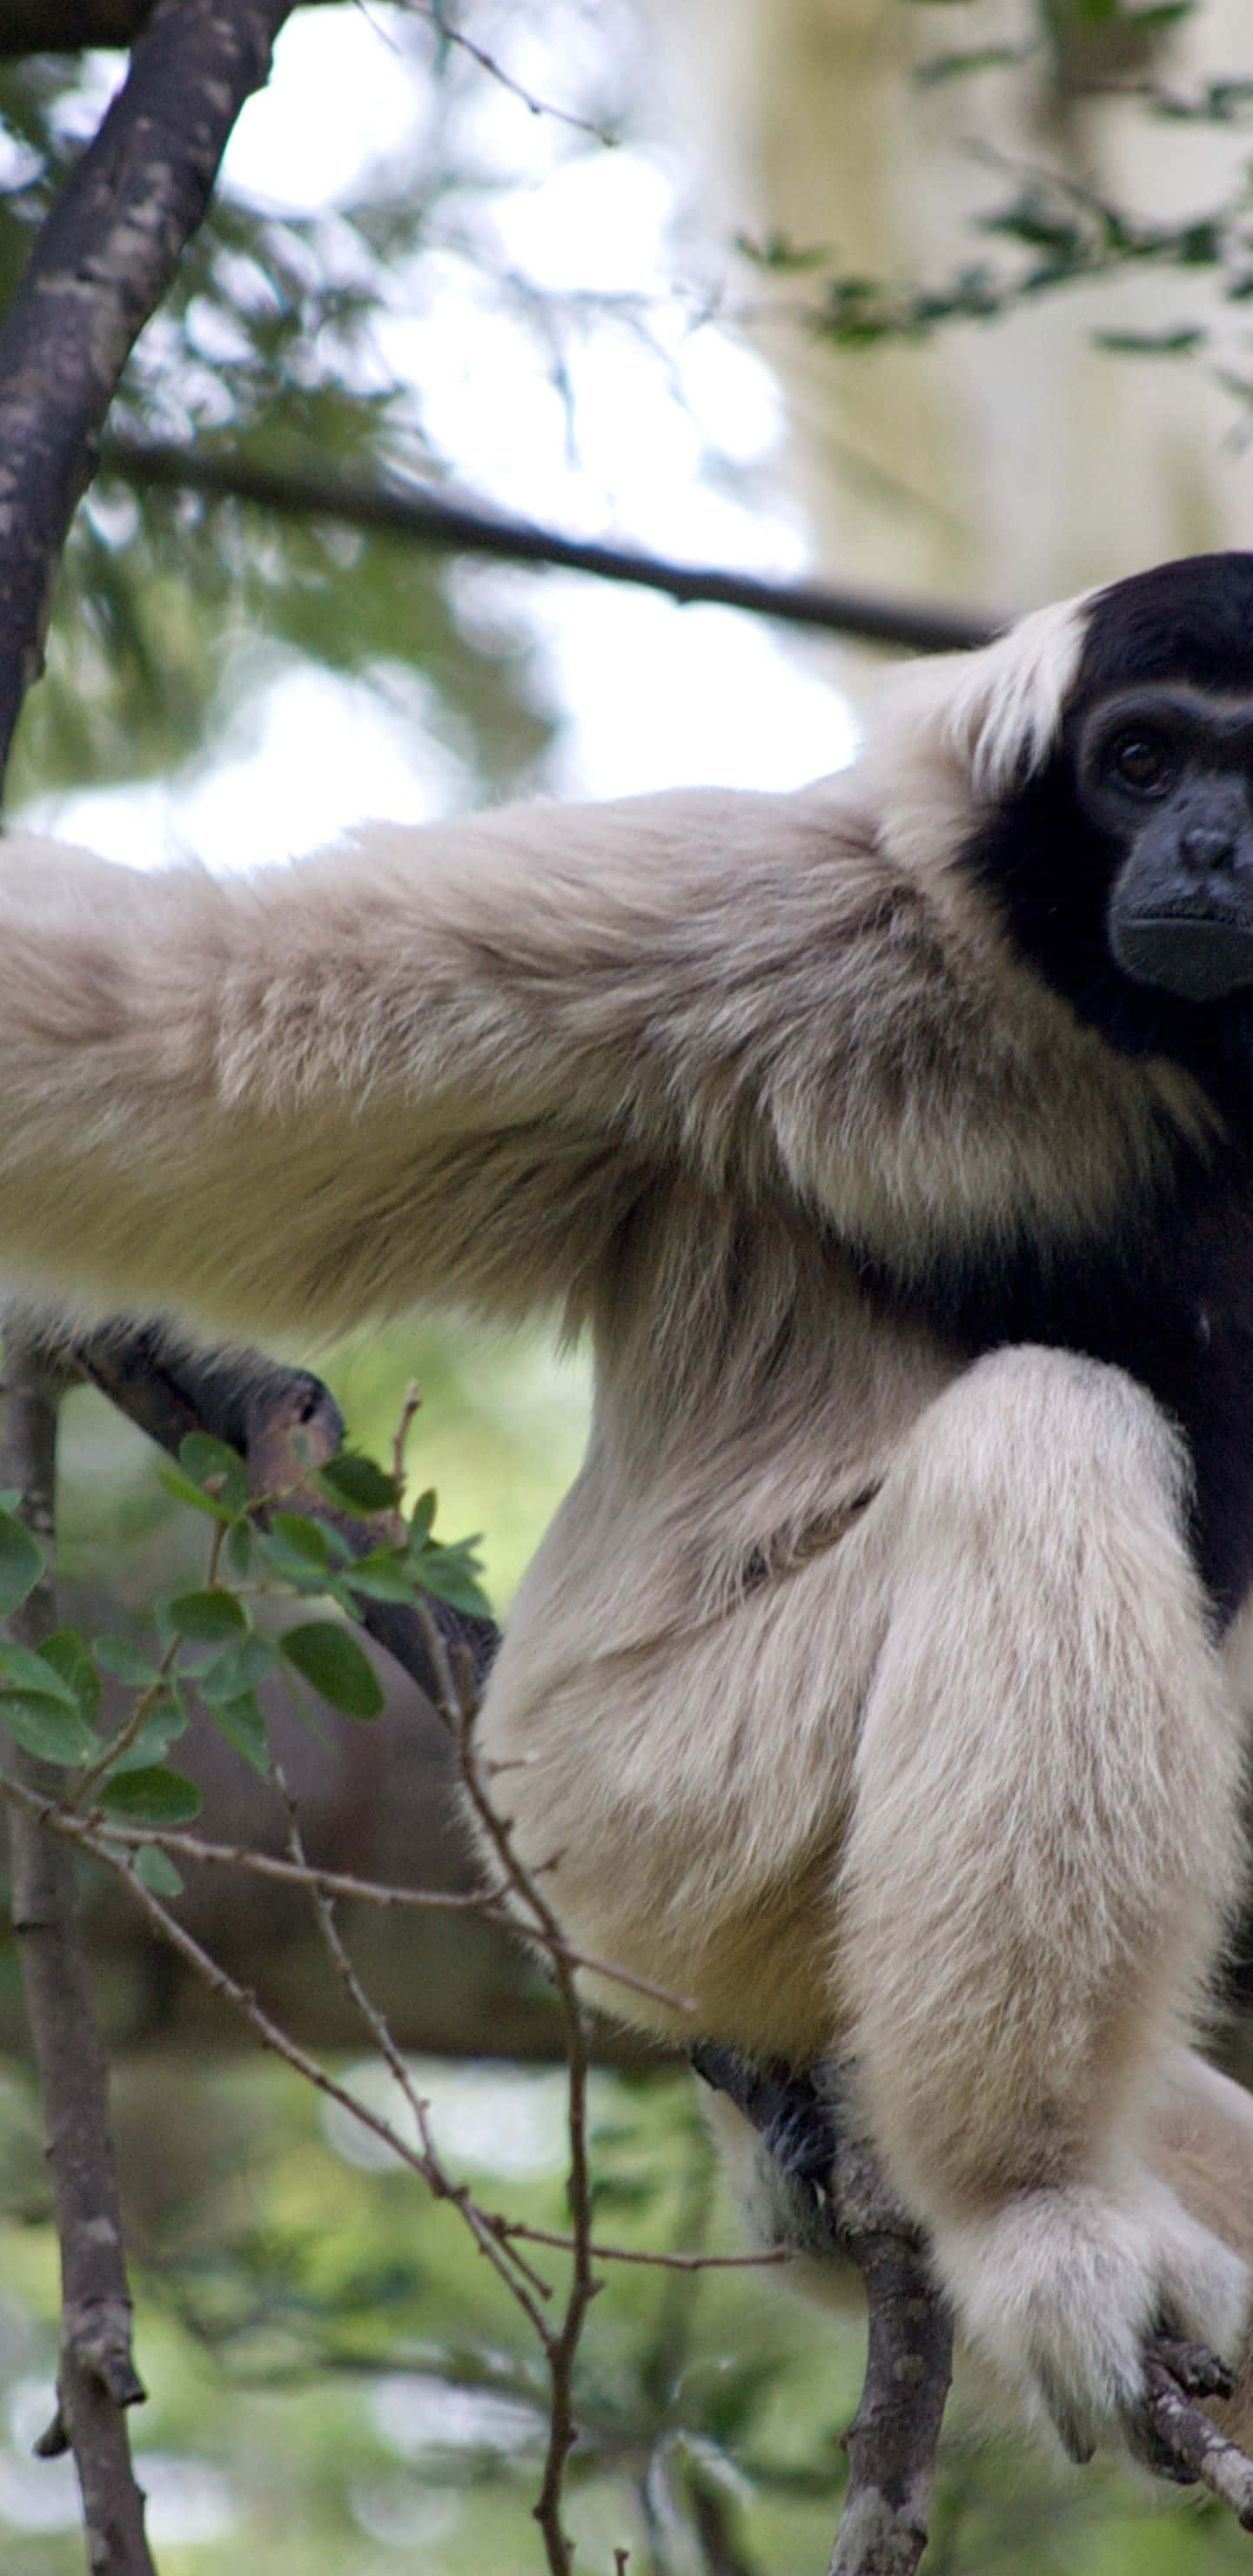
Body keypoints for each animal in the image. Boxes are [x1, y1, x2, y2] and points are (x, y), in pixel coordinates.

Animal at [3, 552, 1253, 2468]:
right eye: (1142, 760)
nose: (1210, 845)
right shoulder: (786, 925)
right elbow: (178, 1022)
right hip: (637, 1817)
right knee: (1053, 1437)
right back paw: (1024, 2204)